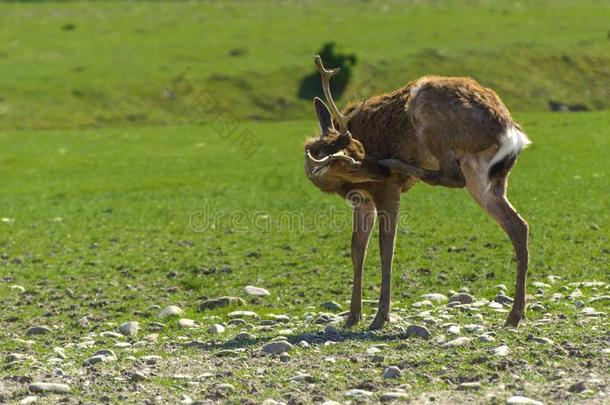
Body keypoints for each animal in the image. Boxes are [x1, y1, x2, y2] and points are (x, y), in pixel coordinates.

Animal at [302, 55, 528, 330]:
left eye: (360, 148)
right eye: (352, 162)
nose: (380, 168)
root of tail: (512, 133)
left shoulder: (387, 189)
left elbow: (386, 248)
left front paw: (380, 317)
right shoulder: (362, 200)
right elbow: (357, 250)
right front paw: (352, 316)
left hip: (428, 113)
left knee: (451, 176)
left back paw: (397, 163)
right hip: (487, 178)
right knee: (518, 226)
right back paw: (514, 316)